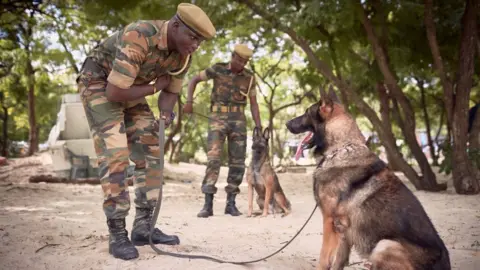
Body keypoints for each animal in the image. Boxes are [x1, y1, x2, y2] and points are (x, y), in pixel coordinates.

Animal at [284, 92, 450, 268]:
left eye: (306, 113)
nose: (287, 123)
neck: (341, 148)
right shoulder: (343, 229)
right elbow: (339, 259)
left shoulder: (329, 222)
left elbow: (324, 259)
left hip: (384, 244)